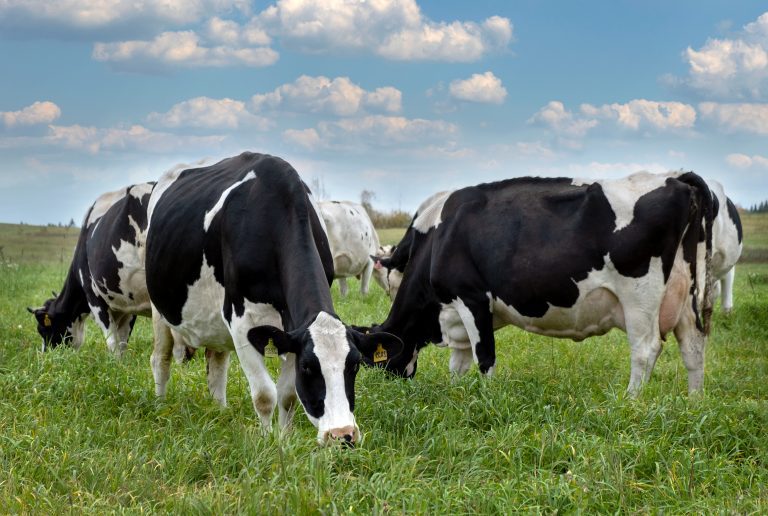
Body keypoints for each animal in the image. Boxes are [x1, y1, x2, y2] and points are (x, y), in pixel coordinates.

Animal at [146, 152, 404, 444]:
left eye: (355, 365)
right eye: (308, 367)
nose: (342, 434)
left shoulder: (291, 330)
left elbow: (288, 395)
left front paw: (285, 439)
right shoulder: (241, 322)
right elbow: (264, 394)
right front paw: (266, 441)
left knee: (216, 365)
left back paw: (219, 411)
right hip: (159, 308)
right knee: (161, 358)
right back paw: (161, 406)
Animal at [360, 173, 712, 396]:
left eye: (379, 363)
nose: (391, 385)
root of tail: (678, 180)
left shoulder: (471, 298)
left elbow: (484, 357)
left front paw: (487, 398)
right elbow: (458, 364)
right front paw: (457, 393)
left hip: (640, 296)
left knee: (645, 348)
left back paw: (631, 400)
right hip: (686, 295)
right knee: (693, 347)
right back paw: (693, 403)